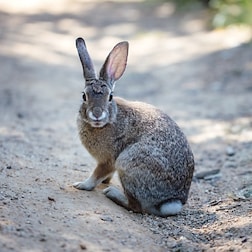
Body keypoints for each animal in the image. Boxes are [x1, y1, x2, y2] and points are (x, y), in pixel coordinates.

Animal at [73, 37, 195, 217]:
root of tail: (172, 200)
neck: (110, 119)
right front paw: (105, 181)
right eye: (84, 96)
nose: (97, 114)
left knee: (136, 206)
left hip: (127, 163)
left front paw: (82, 185)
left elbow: (97, 174)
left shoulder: (108, 160)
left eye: (110, 97)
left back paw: (112, 194)